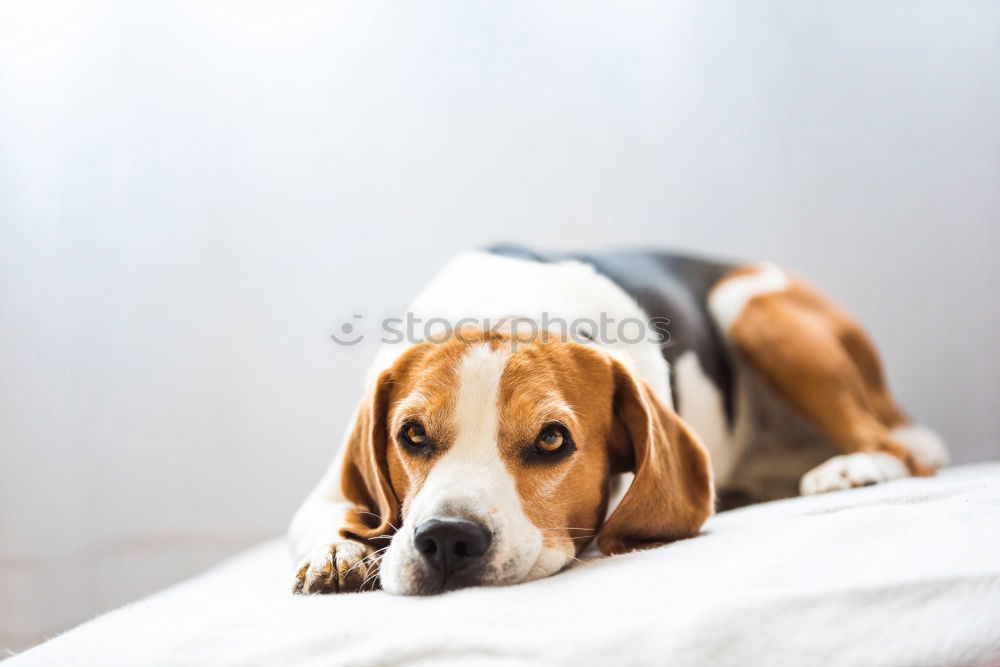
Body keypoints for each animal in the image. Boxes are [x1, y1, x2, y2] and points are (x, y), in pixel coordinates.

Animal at [288, 248, 944, 596]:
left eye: (552, 440)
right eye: (412, 436)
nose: (448, 538)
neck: (504, 309)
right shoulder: (326, 492)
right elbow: (325, 518)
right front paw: (339, 552)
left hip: (752, 310)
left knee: (901, 451)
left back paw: (854, 468)